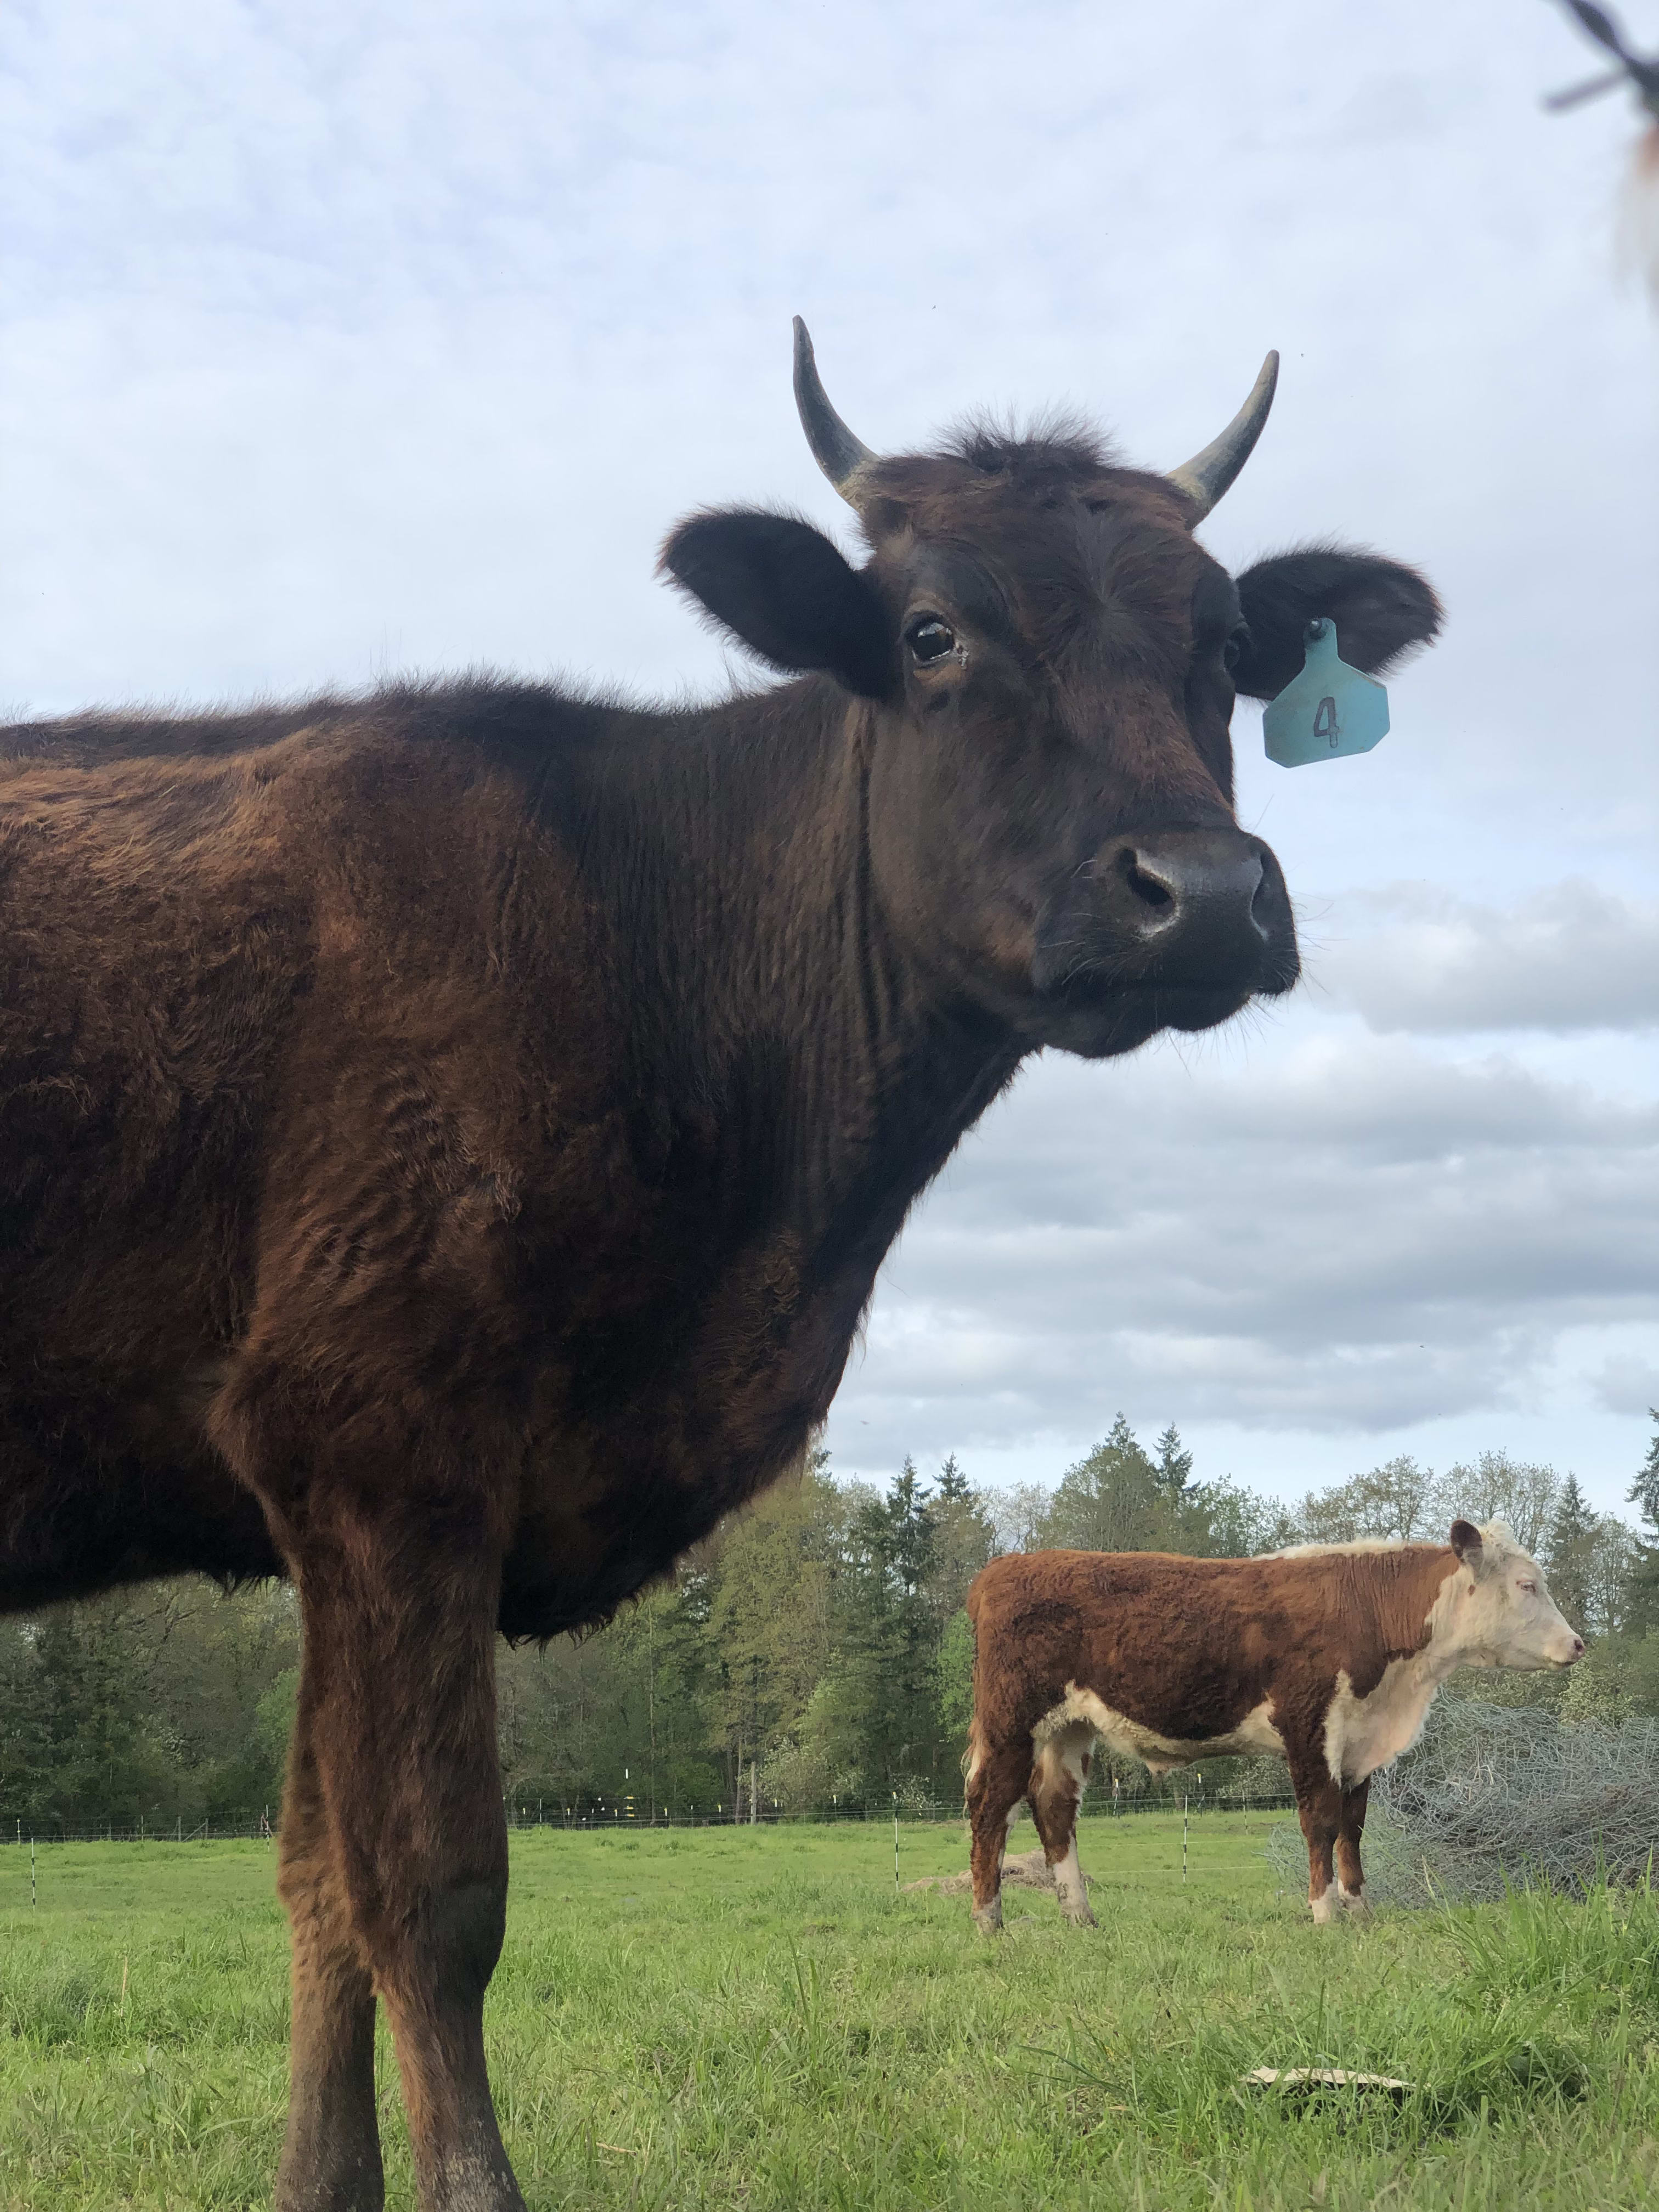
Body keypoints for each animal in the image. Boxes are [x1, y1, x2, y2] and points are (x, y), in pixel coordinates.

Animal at [0, 331, 1442, 2212]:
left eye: (1221, 642)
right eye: (933, 632)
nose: (1199, 894)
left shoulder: (338, 1508)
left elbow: (319, 1887)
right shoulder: (380, 1443)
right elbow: (429, 1891)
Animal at [969, 1531, 1593, 1928]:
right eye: (1526, 1585)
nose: (1578, 1644)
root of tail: (1005, 1568)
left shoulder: (1359, 1741)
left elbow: (1353, 1827)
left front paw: (1361, 1910)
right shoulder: (1310, 1723)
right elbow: (1320, 1822)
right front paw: (1324, 1912)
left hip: (1068, 1729)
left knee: (1054, 1808)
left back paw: (1080, 1917)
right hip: (1011, 1722)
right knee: (990, 1806)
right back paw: (989, 1919)